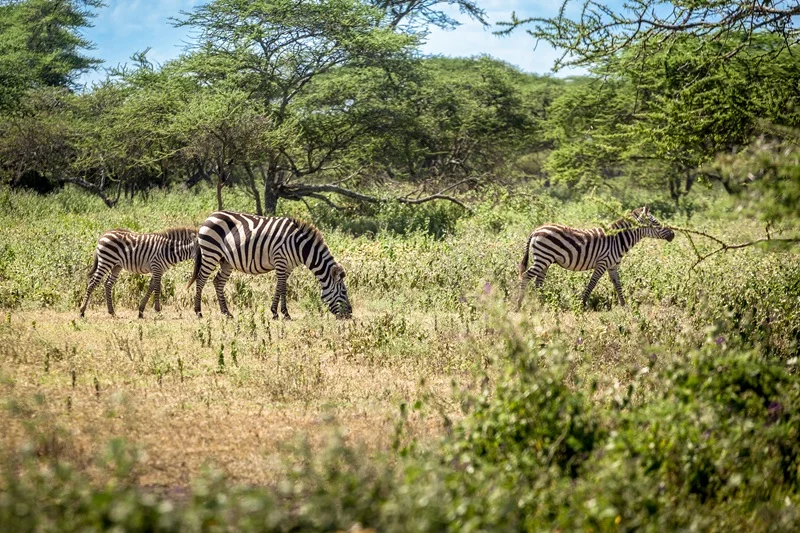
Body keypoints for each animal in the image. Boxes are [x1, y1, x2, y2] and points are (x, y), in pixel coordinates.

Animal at [187, 211, 352, 320]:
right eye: (344, 292)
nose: (350, 315)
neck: (300, 247)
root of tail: (211, 216)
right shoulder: (280, 260)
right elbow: (283, 288)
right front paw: (284, 313)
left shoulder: (288, 266)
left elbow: (280, 287)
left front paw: (276, 312)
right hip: (211, 253)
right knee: (201, 280)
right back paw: (198, 312)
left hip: (225, 260)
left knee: (218, 282)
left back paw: (226, 313)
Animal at [516, 206, 675, 310]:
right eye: (655, 223)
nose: (673, 235)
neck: (617, 240)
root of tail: (536, 230)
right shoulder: (602, 263)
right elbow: (592, 283)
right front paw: (582, 304)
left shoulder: (612, 266)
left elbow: (618, 285)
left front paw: (624, 306)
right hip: (543, 257)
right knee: (526, 275)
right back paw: (519, 304)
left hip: (545, 261)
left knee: (538, 282)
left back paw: (541, 302)